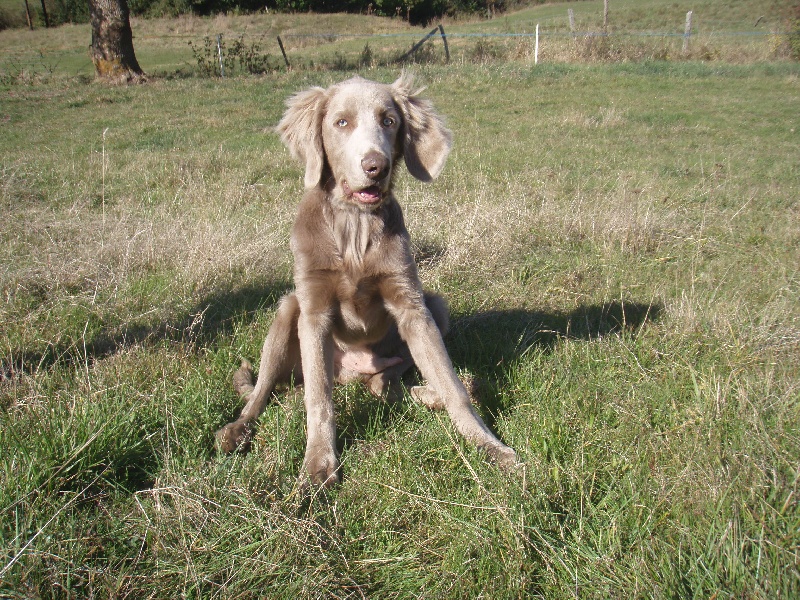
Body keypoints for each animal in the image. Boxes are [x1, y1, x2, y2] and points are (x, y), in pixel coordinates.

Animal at [217, 76, 520, 488]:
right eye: (341, 122)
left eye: (389, 121)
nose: (376, 166)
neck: (354, 224)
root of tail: (352, 374)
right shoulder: (313, 308)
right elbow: (318, 397)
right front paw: (318, 465)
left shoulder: (411, 304)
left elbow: (453, 386)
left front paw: (490, 446)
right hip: (287, 309)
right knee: (261, 391)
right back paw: (236, 430)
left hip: (435, 305)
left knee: (385, 385)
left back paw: (430, 393)